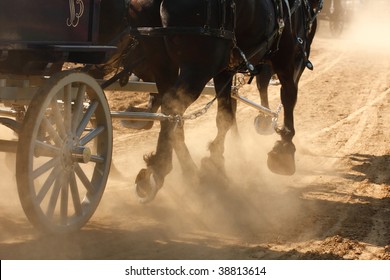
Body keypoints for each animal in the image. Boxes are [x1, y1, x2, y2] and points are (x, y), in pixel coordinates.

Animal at [126, 0, 322, 201]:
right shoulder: (289, 58)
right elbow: (289, 96)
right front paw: (285, 148)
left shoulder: (225, 70)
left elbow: (225, 116)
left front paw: (215, 162)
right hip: (198, 69)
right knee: (173, 106)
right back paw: (161, 167)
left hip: (162, 62)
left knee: (172, 114)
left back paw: (187, 171)